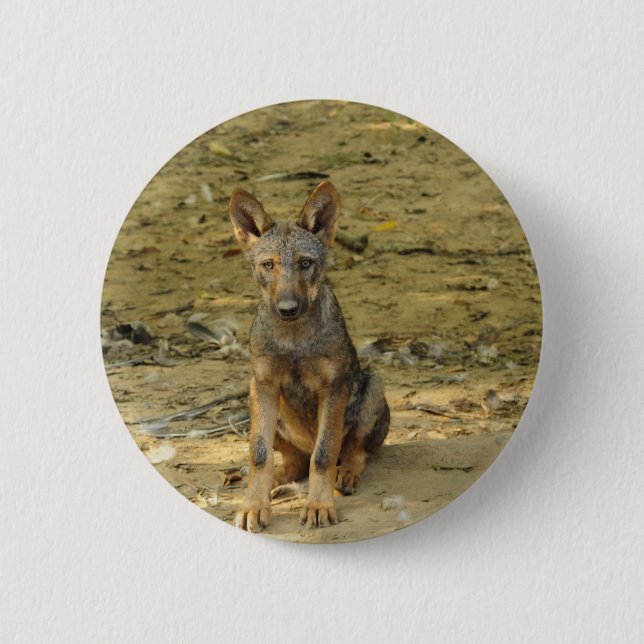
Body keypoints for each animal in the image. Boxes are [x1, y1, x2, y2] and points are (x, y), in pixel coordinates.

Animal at [228, 181, 390, 531]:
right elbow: (259, 454)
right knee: (294, 460)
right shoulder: (264, 384)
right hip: (254, 402)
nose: (288, 308)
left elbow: (324, 454)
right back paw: (275, 483)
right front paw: (253, 505)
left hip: (372, 387)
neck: (294, 340)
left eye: (305, 264)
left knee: (353, 451)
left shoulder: (334, 389)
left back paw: (346, 474)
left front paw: (318, 504)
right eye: (269, 265)